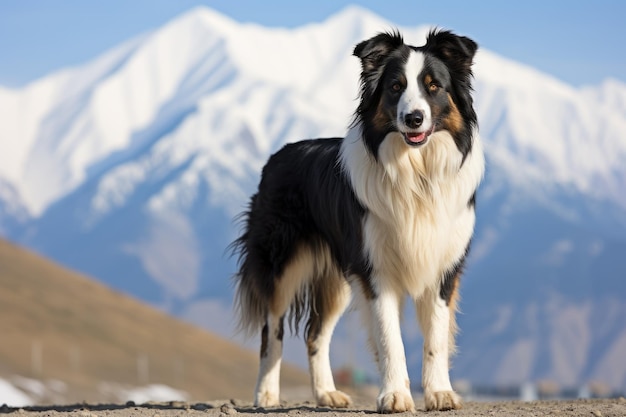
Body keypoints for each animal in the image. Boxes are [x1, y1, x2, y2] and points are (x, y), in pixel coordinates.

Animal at [232, 30, 480, 412]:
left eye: (434, 86)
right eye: (395, 87)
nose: (414, 119)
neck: (417, 174)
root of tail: (277, 155)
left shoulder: (442, 269)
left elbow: (436, 338)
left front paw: (439, 393)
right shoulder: (375, 271)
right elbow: (390, 339)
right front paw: (395, 396)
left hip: (336, 279)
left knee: (315, 335)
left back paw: (326, 394)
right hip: (281, 263)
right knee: (271, 328)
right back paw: (266, 394)